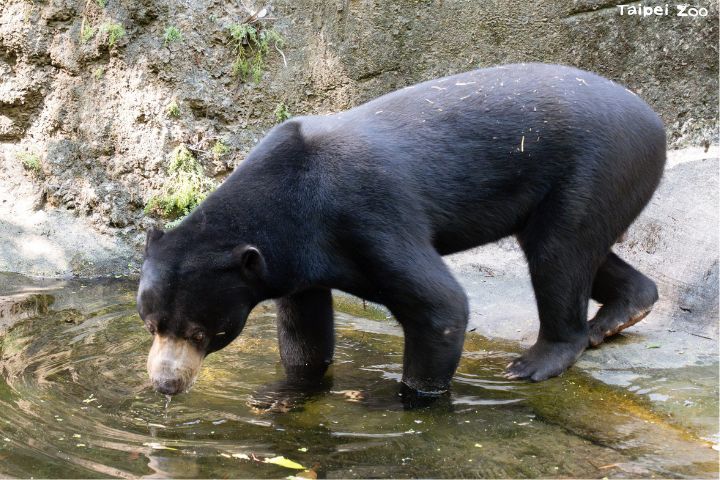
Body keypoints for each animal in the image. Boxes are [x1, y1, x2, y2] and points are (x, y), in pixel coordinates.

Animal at [138, 63, 665, 398]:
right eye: (151, 324)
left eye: (202, 332)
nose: (166, 385)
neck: (286, 201)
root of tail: (653, 119)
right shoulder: (294, 257)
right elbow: (305, 329)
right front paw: (289, 391)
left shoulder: (366, 216)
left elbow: (439, 305)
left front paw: (415, 399)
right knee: (573, 249)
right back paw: (624, 311)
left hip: (596, 166)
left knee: (559, 252)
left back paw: (537, 361)